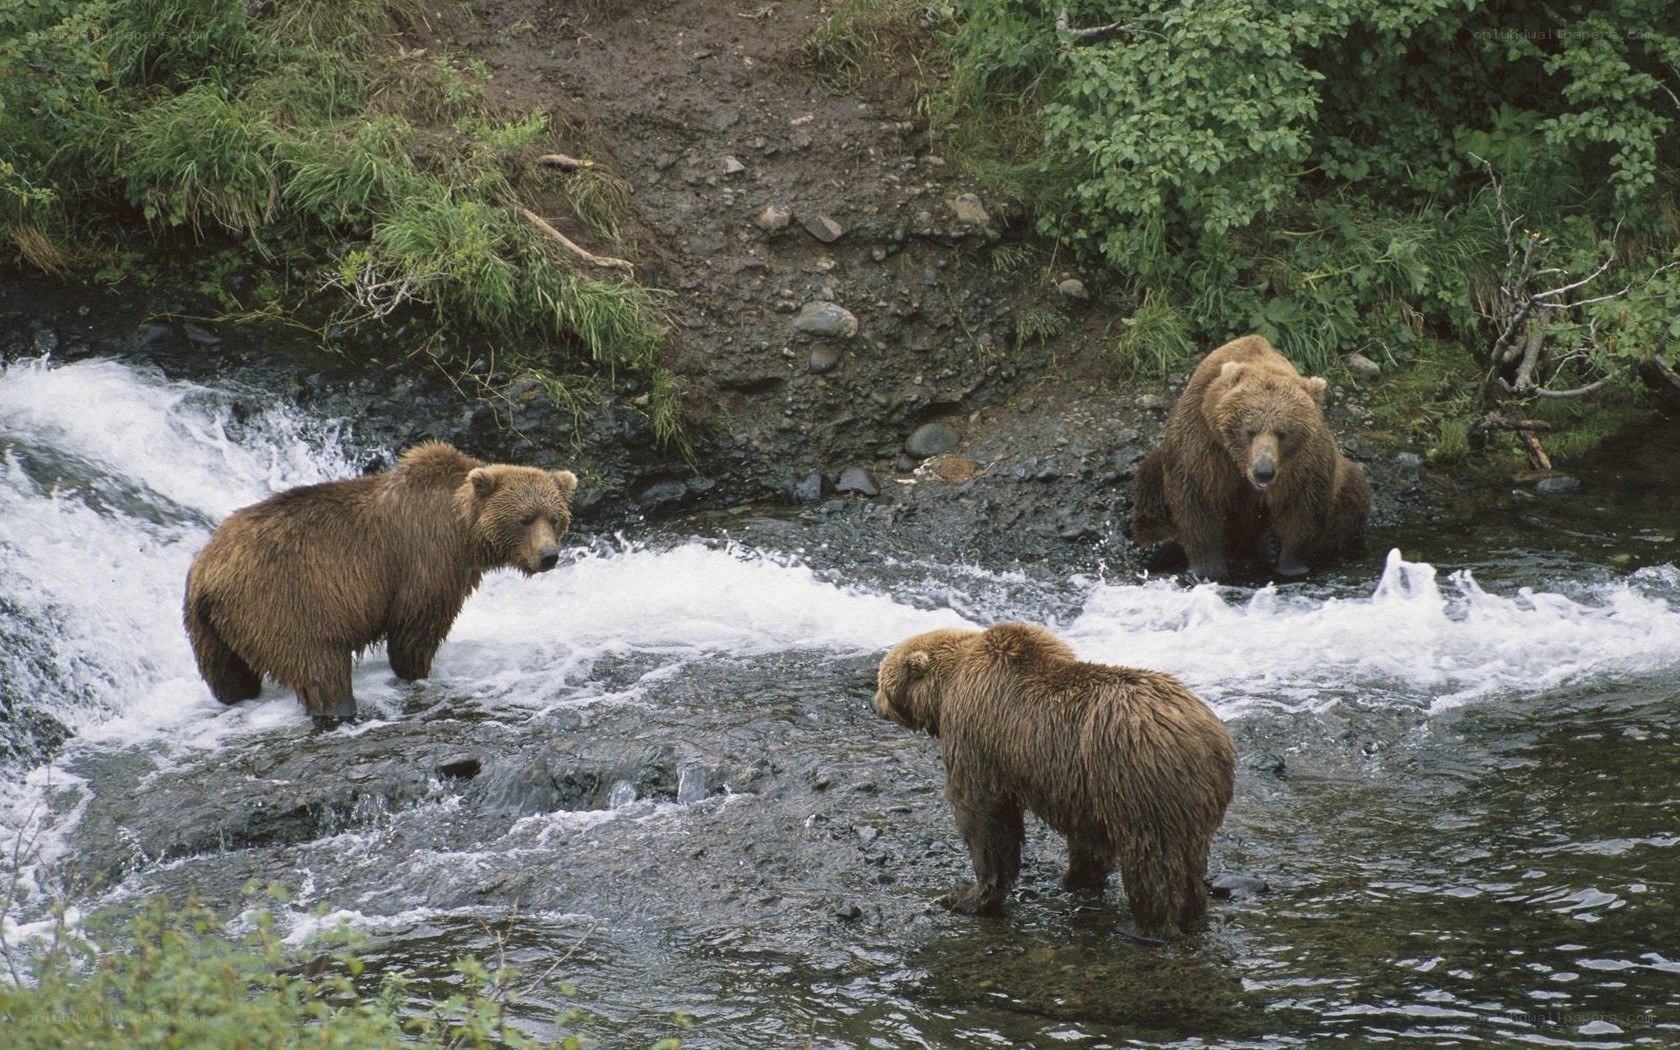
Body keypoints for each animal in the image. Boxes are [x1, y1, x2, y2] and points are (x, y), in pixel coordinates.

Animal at [183, 440, 577, 723]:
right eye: (525, 518)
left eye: (555, 518)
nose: (548, 556)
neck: (464, 531)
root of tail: (208, 573)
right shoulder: (427, 558)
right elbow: (415, 628)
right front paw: (416, 673)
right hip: (283, 601)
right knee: (319, 664)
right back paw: (338, 709)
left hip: (209, 629)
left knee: (229, 677)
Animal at [873, 622, 1236, 942]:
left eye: (881, 681)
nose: (874, 704)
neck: (948, 688)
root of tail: (1206, 738)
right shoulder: (1082, 786)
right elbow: (1087, 836)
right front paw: (1078, 876)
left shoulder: (977, 736)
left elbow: (985, 816)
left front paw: (966, 894)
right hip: (1189, 798)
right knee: (1191, 857)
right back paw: (1192, 912)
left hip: (1137, 780)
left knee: (1151, 860)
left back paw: (1146, 927)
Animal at [1131, 334, 1371, 581]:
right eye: (1250, 430)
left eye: (1282, 432)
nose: (1263, 471)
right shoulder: (1203, 442)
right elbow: (1198, 497)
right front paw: (1208, 569)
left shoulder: (1303, 460)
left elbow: (1302, 504)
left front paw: (1290, 565)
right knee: (1149, 481)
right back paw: (1158, 545)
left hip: (1345, 481)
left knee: (1351, 502)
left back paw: (1268, 545)